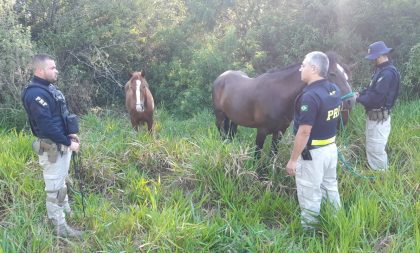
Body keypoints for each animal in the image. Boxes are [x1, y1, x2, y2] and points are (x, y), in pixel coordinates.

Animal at [213, 52, 354, 157]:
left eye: (345, 73)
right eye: (332, 73)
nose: (351, 100)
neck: (277, 95)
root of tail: (221, 77)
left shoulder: (280, 132)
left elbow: (273, 155)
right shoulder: (262, 131)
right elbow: (257, 155)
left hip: (234, 119)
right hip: (220, 117)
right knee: (222, 134)